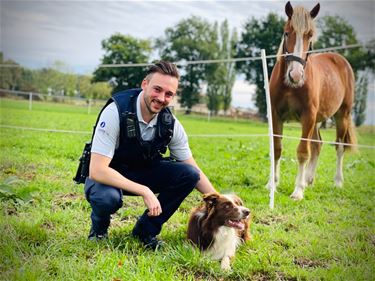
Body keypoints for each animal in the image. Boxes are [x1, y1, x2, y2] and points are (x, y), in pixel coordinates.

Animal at [268, 1, 356, 199]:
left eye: (309, 35)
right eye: (287, 32)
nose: (295, 75)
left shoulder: (307, 116)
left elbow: (302, 152)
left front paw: (298, 191)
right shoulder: (276, 115)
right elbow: (277, 148)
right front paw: (272, 185)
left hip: (342, 116)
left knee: (339, 146)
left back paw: (337, 182)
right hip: (317, 121)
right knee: (318, 145)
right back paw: (309, 180)